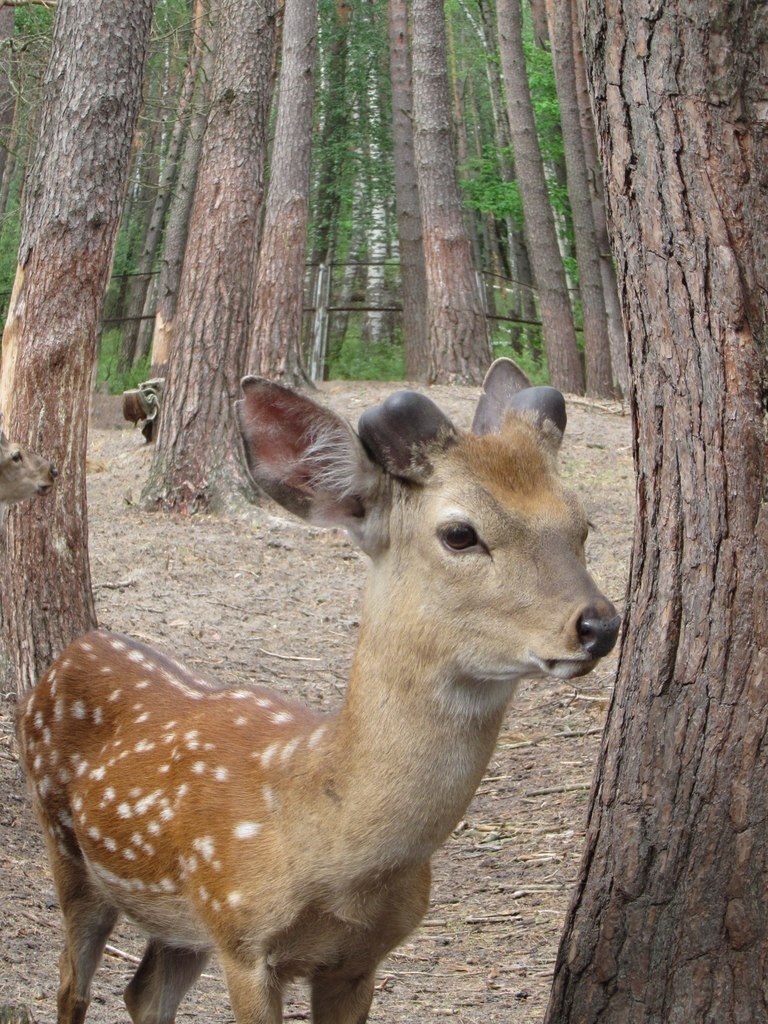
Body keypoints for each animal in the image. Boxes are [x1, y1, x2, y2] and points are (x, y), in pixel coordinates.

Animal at [16, 362, 618, 1024]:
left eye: (581, 525)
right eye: (460, 533)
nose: (599, 625)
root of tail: (69, 653)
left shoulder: (357, 960)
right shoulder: (242, 933)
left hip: (179, 920)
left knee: (142, 993)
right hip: (67, 848)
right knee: (72, 984)